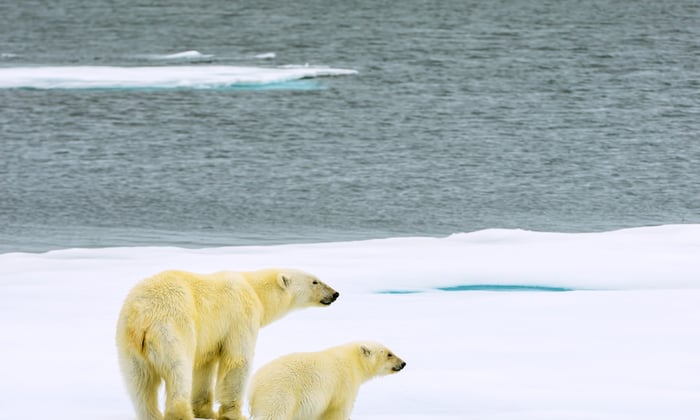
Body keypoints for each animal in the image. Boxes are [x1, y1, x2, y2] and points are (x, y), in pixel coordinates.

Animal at [115, 268, 339, 420]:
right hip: (173, 329)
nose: (335, 293)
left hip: (128, 344)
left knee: (140, 384)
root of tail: (141, 316)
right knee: (178, 371)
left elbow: (205, 365)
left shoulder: (210, 336)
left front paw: (206, 411)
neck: (254, 289)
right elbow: (238, 360)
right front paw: (235, 414)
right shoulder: (241, 316)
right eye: (315, 281)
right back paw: (181, 414)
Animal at [247, 341, 406, 420]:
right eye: (389, 354)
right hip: (279, 394)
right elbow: (338, 411)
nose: (403, 363)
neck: (353, 360)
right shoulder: (344, 384)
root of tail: (253, 386)